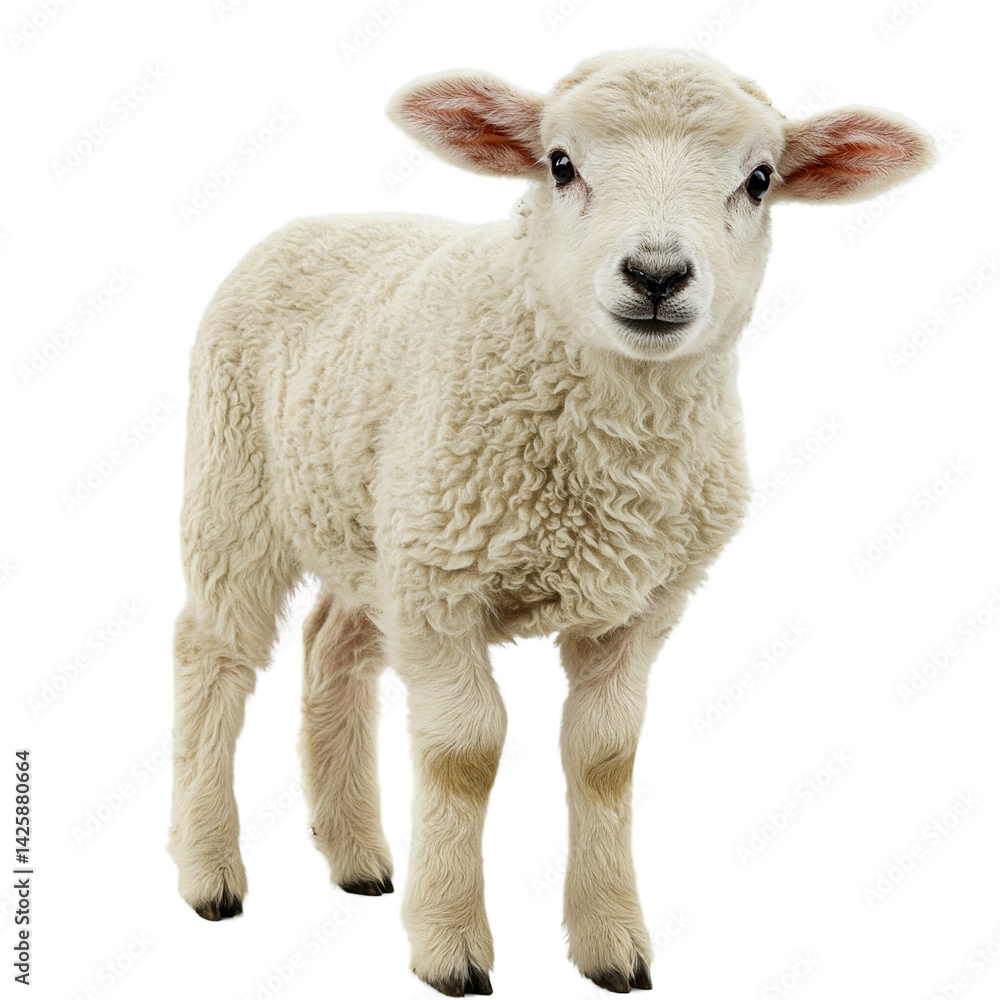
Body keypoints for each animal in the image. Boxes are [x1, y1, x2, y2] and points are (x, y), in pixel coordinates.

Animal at [168, 48, 935, 996]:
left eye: (759, 179)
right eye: (560, 164)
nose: (656, 274)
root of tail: (316, 221)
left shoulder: (639, 605)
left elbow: (605, 757)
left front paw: (611, 941)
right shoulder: (441, 592)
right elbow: (465, 751)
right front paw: (450, 944)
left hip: (375, 524)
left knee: (333, 646)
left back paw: (357, 859)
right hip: (236, 485)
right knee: (214, 652)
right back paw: (209, 870)